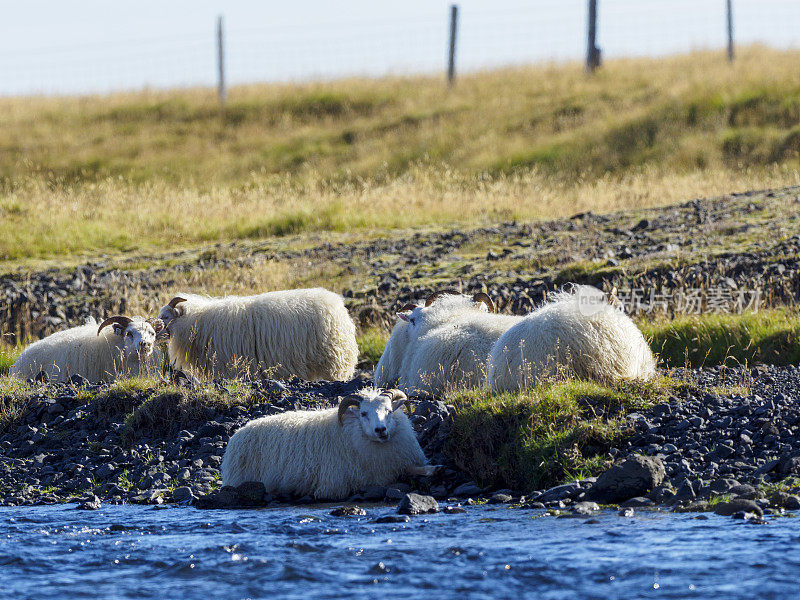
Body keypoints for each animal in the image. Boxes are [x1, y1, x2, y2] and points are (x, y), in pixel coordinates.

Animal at [220, 386, 438, 500]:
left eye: (390, 411)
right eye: (363, 413)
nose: (381, 430)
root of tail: (238, 432)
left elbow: (418, 468)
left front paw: (434, 469)